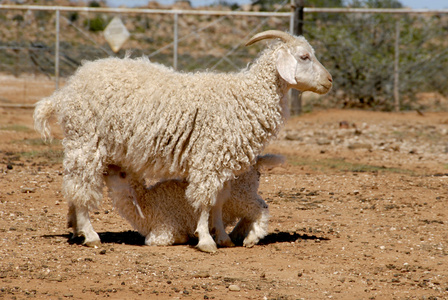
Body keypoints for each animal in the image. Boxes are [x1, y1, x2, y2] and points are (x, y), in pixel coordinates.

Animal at [35, 30, 330, 252]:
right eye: (304, 56)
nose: (328, 81)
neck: (243, 96)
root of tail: (65, 92)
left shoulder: (222, 161)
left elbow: (219, 200)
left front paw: (222, 237)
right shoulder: (209, 155)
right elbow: (205, 200)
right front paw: (207, 240)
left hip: (86, 144)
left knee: (74, 187)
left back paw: (75, 231)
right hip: (86, 140)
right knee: (81, 186)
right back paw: (90, 235)